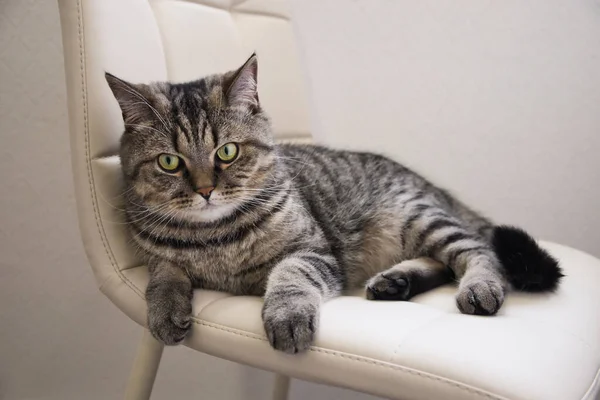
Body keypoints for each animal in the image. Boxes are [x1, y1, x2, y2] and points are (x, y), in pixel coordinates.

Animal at [106, 54, 564, 354]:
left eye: (227, 152)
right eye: (169, 162)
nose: (205, 190)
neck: (215, 238)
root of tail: (433, 188)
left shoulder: (313, 251)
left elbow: (290, 275)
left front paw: (287, 316)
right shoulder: (157, 257)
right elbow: (164, 274)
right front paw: (165, 311)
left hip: (418, 217)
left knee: (477, 250)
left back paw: (479, 287)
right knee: (444, 262)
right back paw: (395, 281)